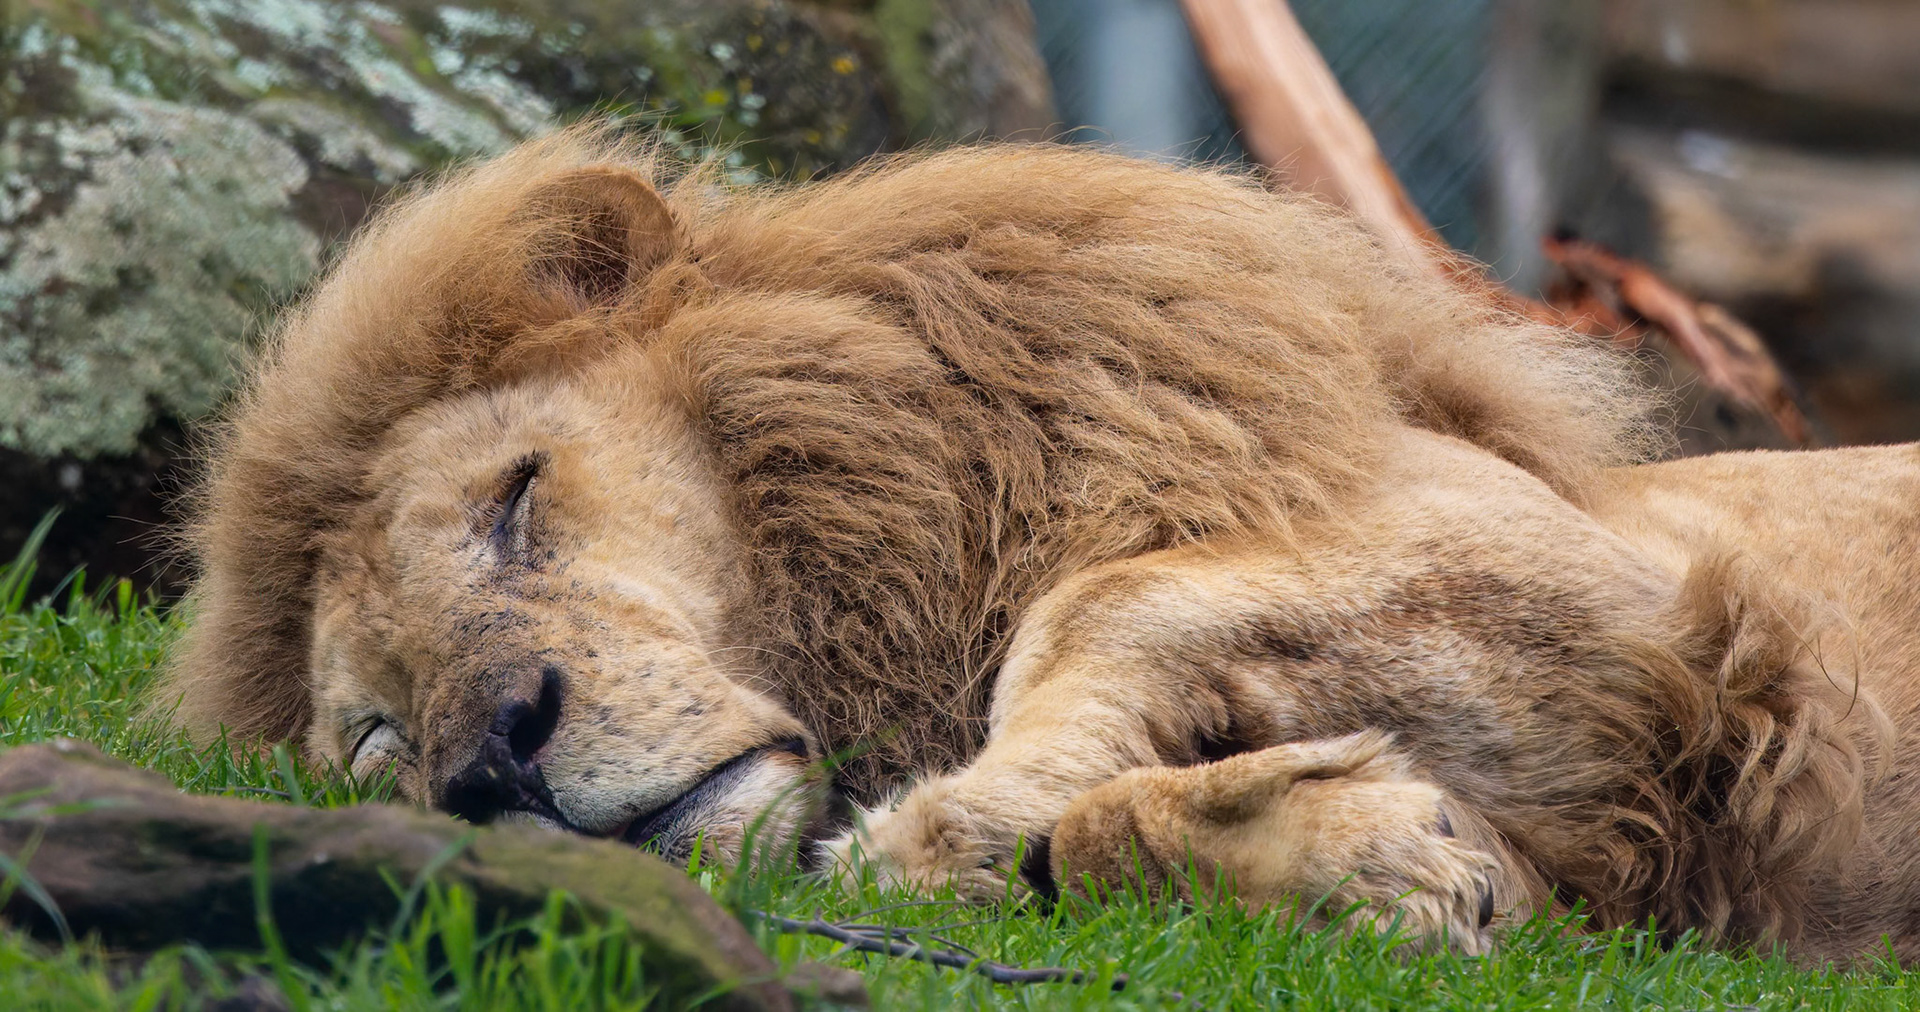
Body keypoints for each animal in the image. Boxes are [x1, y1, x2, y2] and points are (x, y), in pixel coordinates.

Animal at [161, 126, 1909, 961]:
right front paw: (1367, 855)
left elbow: (1098, 605)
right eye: (378, 738)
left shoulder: (1622, 591)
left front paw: (963, 812)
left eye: (518, 499)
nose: (496, 759)